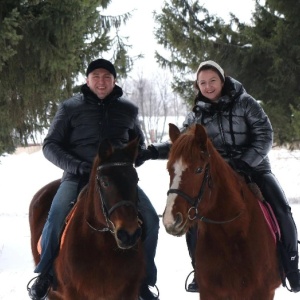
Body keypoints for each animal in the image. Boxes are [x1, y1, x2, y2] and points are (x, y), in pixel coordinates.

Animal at [162, 123, 282, 298]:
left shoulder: (263, 292)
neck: (231, 234)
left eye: (199, 170)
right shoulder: (209, 293)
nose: (171, 220)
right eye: (169, 169)